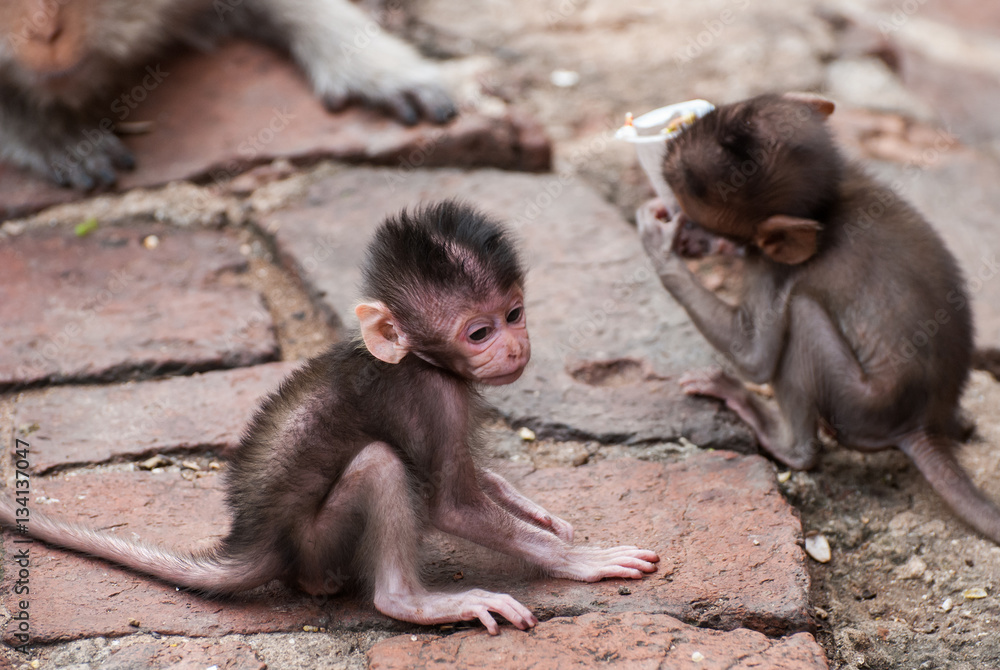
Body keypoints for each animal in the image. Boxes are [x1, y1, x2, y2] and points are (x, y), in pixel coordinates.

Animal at [3, 202, 660, 636]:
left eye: (515, 313)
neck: (417, 358)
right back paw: (410, 602)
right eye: (479, 332)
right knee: (380, 464)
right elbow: (451, 503)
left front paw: (529, 507)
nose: (515, 347)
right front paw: (578, 560)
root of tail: (258, 541)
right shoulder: (434, 394)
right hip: (322, 546)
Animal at [636, 93, 1000, 544]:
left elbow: (755, 356)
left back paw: (775, 433)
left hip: (859, 403)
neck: (827, 205)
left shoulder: (771, 268)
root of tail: (921, 425)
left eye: (688, 192)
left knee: (802, 317)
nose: (669, 152)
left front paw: (660, 245)